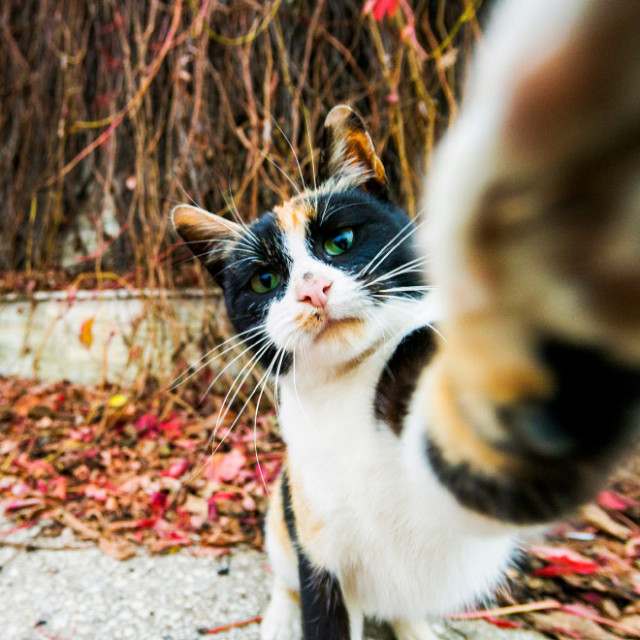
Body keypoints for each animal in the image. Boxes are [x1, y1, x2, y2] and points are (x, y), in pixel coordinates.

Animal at [172, 0, 640, 636]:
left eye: (340, 241)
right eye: (265, 281)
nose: (313, 289)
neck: (345, 396)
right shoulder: (318, 550)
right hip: (282, 514)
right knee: (284, 577)